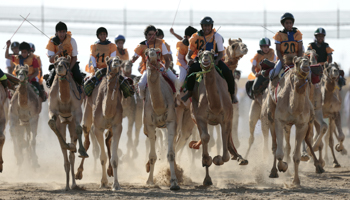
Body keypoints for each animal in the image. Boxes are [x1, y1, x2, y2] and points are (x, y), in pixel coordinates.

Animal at [47, 56, 88, 191]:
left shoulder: (77, 111)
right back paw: (67, 186)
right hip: (63, 122)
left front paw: (82, 151)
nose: (60, 67)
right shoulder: (52, 110)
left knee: (72, 155)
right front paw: (68, 145)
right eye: (55, 63)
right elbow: (51, 123)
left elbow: (79, 128)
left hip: (70, 122)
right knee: (66, 157)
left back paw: (73, 184)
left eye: (66, 63)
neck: (64, 99)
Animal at [142, 47, 180, 190]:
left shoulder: (171, 122)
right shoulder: (150, 125)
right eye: (146, 53)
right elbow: (152, 156)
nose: (152, 54)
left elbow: (170, 154)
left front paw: (174, 182)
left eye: (158, 52)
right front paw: (149, 181)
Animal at [189, 49, 246, 187]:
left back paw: (239, 157)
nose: (205, 57)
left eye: (211, 53)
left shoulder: (226, 119)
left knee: (228, 137)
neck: (215, 105)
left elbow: (225, 149)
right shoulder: (200, 118)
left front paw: (217, 159)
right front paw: (207, 160)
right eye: (200, 54)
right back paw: (207, 178)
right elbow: (205, 138)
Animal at [266, 55, 324, 186]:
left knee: (307, 140)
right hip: (271, 116)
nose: (305, 64)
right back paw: (273, 171)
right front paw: (283, 167)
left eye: (308, 61)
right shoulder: (279, 120)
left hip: (308, 120)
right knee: (275, 146)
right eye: (297, 62)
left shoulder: (302, 124)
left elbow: (296, 156)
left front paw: (296, 181)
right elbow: (279, 152)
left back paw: (318, 166)